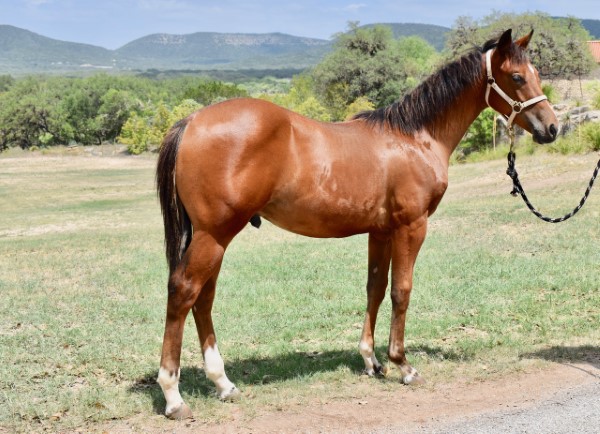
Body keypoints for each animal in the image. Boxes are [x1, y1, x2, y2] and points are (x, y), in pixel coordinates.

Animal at [154, 28, 556, 418]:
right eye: (517, 77)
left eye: (536, 74)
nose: (552, 127)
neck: (415, 137)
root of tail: (191, 122)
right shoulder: (411, 227)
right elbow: (401, 290)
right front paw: (403, 365)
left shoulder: (380, 231)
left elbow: (375, 288)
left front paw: (371, 361)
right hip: (214, 235)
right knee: (184, 292)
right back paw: (174, 396)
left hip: (215, 238)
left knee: (204, 299)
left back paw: (223, 384)